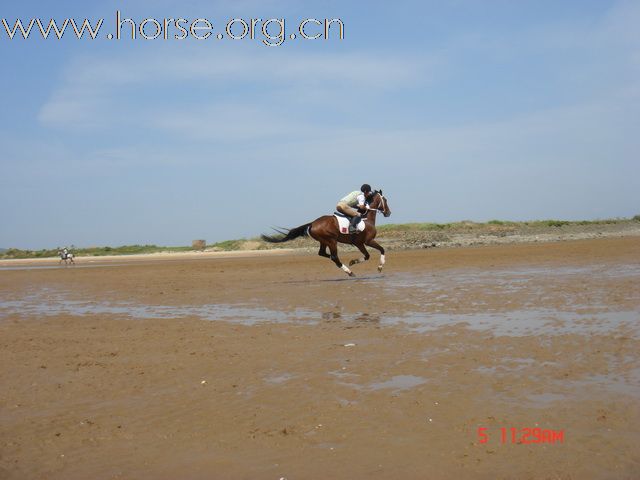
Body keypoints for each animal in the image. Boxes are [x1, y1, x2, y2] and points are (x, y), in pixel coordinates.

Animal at [260, 190, 390, 276]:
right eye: (385, 200)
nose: (388, 213)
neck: (367, 219)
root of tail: (312, 223)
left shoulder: (360, 243)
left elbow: (368, 255)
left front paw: (353, 262)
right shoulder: (367, 241)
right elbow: (381, 250)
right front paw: (380, 267)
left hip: (324, 241)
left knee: (324, 254)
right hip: (331, 241)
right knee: (334, 257)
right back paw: (349, 272)